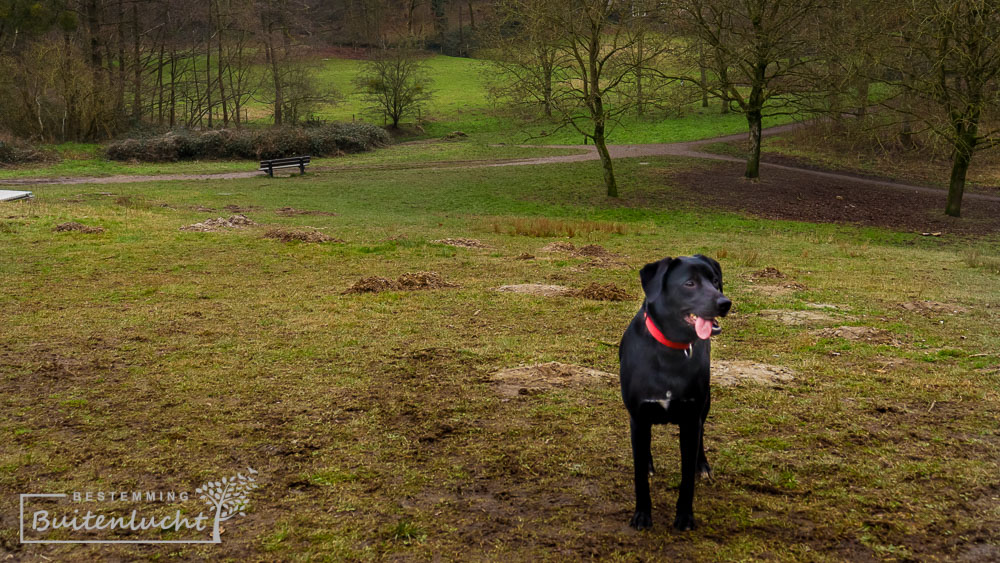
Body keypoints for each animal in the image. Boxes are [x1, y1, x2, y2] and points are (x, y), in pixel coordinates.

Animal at [616, 256, 728, 532]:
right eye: (689, 283)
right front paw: (642, 515)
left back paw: (703, 465)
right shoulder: (639, 417)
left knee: (702, 433)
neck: (670, 350)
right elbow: (639, 476)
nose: (725, 303)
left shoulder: (690, 418)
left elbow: (687, 477)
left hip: (705, 405)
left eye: (715, 281)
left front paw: (685, 517)